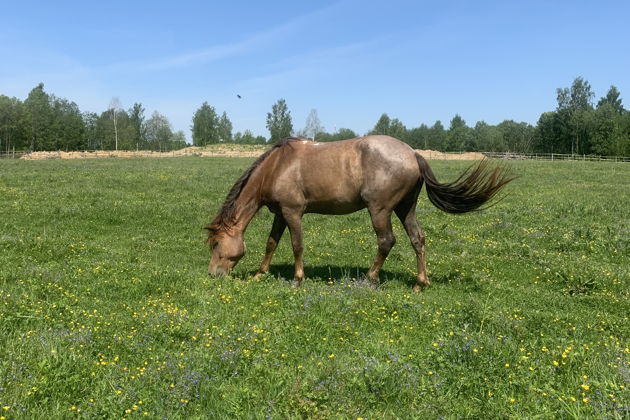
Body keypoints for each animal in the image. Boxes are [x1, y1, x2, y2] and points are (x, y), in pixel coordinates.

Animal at [206, 136, 512, 290]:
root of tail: (413, 154)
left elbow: (296, 245)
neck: (278, 166)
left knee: (386, 241)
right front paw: (260, 274)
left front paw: (297, 279)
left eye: (216, 244)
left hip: (380, 210)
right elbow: (271, 243)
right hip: (405, 208)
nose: (212, 275)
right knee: (418, 239)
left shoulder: (293, 213)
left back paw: (370, 278)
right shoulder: (280, 214)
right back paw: (419, 284)